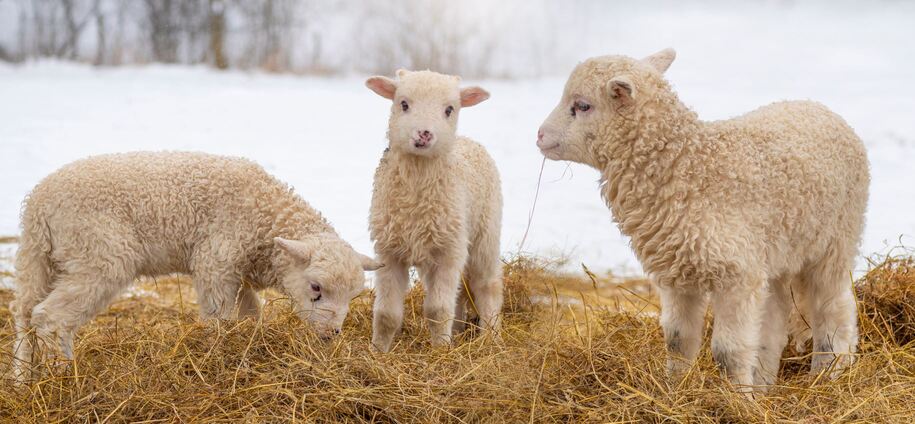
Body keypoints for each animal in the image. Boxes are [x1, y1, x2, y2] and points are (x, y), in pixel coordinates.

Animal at [8, 152, 380, 380]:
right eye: (316, 288)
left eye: (352, 297)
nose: (331, 335)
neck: (263, 215)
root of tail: (38, 205)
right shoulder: (216, 260)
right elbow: (219, 317)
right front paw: (219, 352)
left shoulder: (238, 271)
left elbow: (250, 314)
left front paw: (249, 342)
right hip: (99, 256)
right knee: (50, 318)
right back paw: (64, 375)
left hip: (46, 260)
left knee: (25, 313)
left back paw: (23, 380)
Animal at [366, 69, 508, 352]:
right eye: (403, 104)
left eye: (449, 109)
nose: (424, 134)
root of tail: (469, 140)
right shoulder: (390, 251)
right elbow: (386, 314)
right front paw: (378, 351)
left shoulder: (448, 252)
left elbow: (438, 310)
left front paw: (441, 350)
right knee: (460, 291)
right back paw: (458, 329)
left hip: (484, 234)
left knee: (487, 285)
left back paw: (492, 337)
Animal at [536, 48, 872, 390]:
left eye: (582, 105)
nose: (539, 135)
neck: (688, 167)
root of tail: (822, 108)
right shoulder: (677, 275)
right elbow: (677, 341)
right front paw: (676, 390)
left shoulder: (737, 275)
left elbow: (728, 351)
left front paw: (736, 398)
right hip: (778, 253)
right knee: (774, 323)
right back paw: (764, 385)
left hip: (836, 240)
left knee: (835, 310)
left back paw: (829, 374)